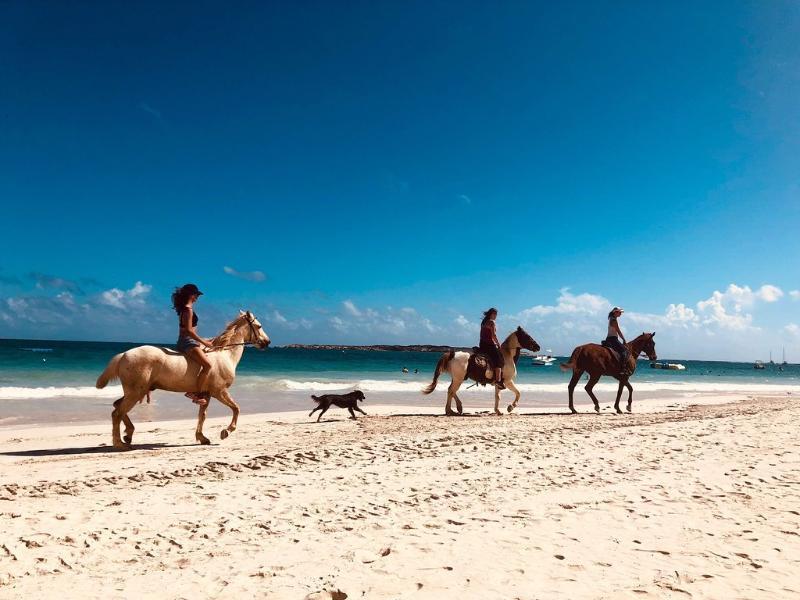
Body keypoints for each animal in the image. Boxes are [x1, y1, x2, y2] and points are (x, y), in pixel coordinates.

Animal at [96, 312, 272, 448]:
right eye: (259, 326)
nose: (267, 342)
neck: (224, 354)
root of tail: (123, 355)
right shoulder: (219, 391)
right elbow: (236, 408)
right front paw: (226, 432)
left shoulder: (206, 394)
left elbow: (202, 415)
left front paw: (202, 438)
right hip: (135, 393)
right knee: (117, 413)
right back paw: (119, 443)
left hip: (136, 392)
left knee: (117, 406)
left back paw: (128, 435)